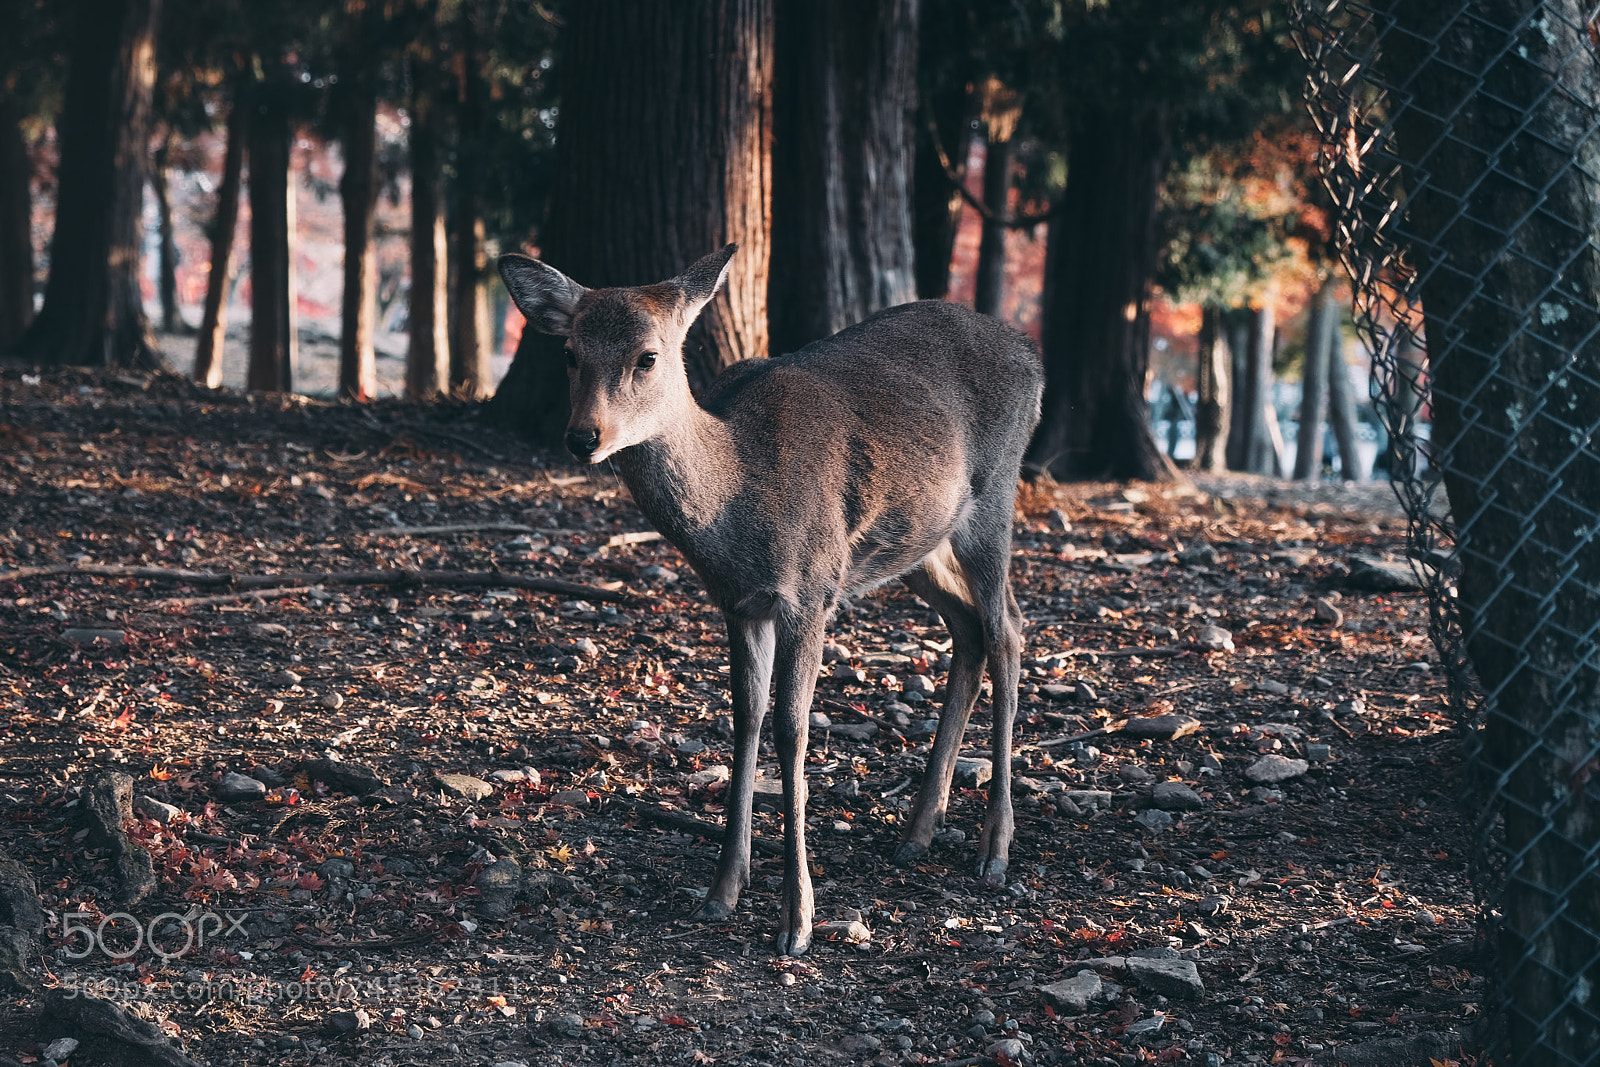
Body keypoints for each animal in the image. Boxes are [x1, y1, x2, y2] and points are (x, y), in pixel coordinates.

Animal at [499, 244, 1043, 956]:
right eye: (569, 352)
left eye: (647, 356)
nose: (582, 436)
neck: (735, 503)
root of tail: (1032, 355)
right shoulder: (740, 603)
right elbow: (745, 719)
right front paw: (723, 889)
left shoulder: (811, 590)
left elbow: (792, 728)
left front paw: (797, 919)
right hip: (916, 543)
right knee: (971, 628)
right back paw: (917, 832)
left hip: (993, 496)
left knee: (1008, 627)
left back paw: (995, 850)